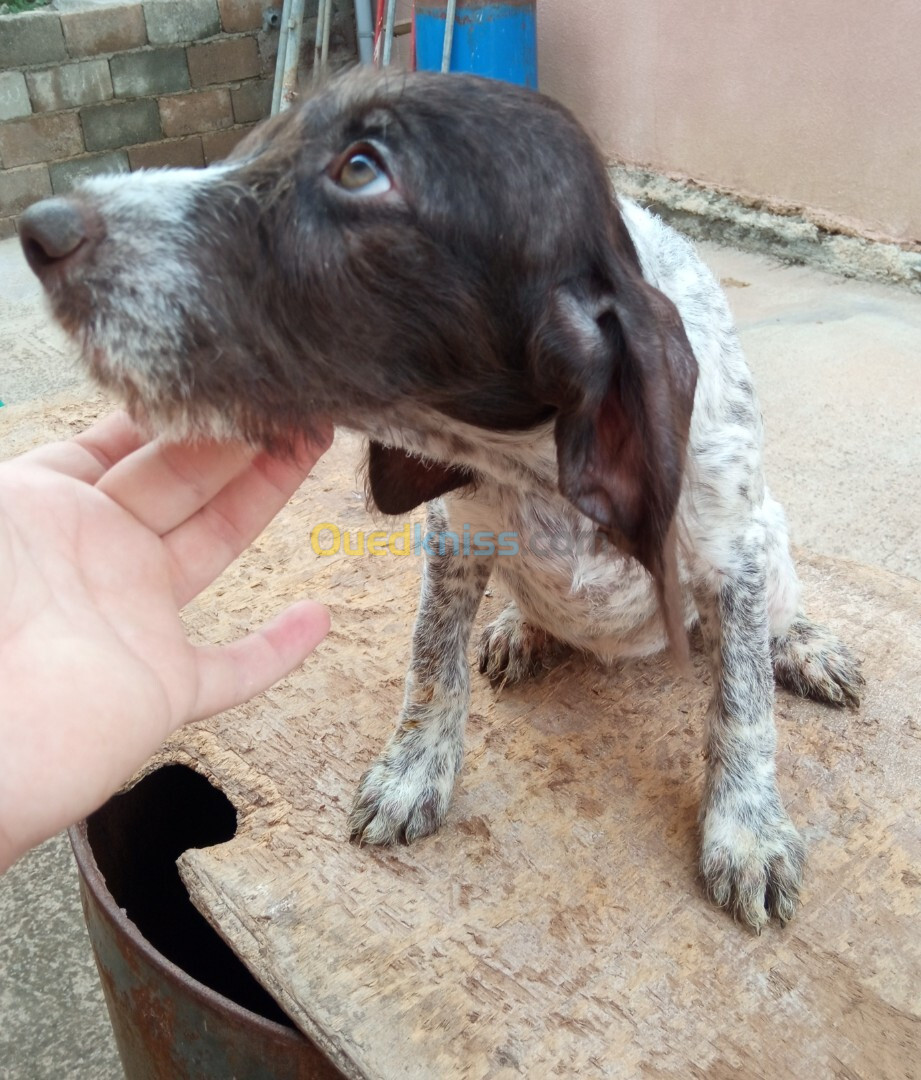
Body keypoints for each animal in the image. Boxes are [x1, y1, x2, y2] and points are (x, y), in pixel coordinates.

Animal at [16, 67, 863, 933]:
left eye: (361, 168)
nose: (39, 228)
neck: (535, 461)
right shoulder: (454, 539)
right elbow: (432, 661)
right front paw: (414, 771)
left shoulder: (730, 555)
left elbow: (742, 704)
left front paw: (746, 830)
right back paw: (521, 628)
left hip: (770, 539)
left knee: (776, 617)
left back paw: (803, 647)